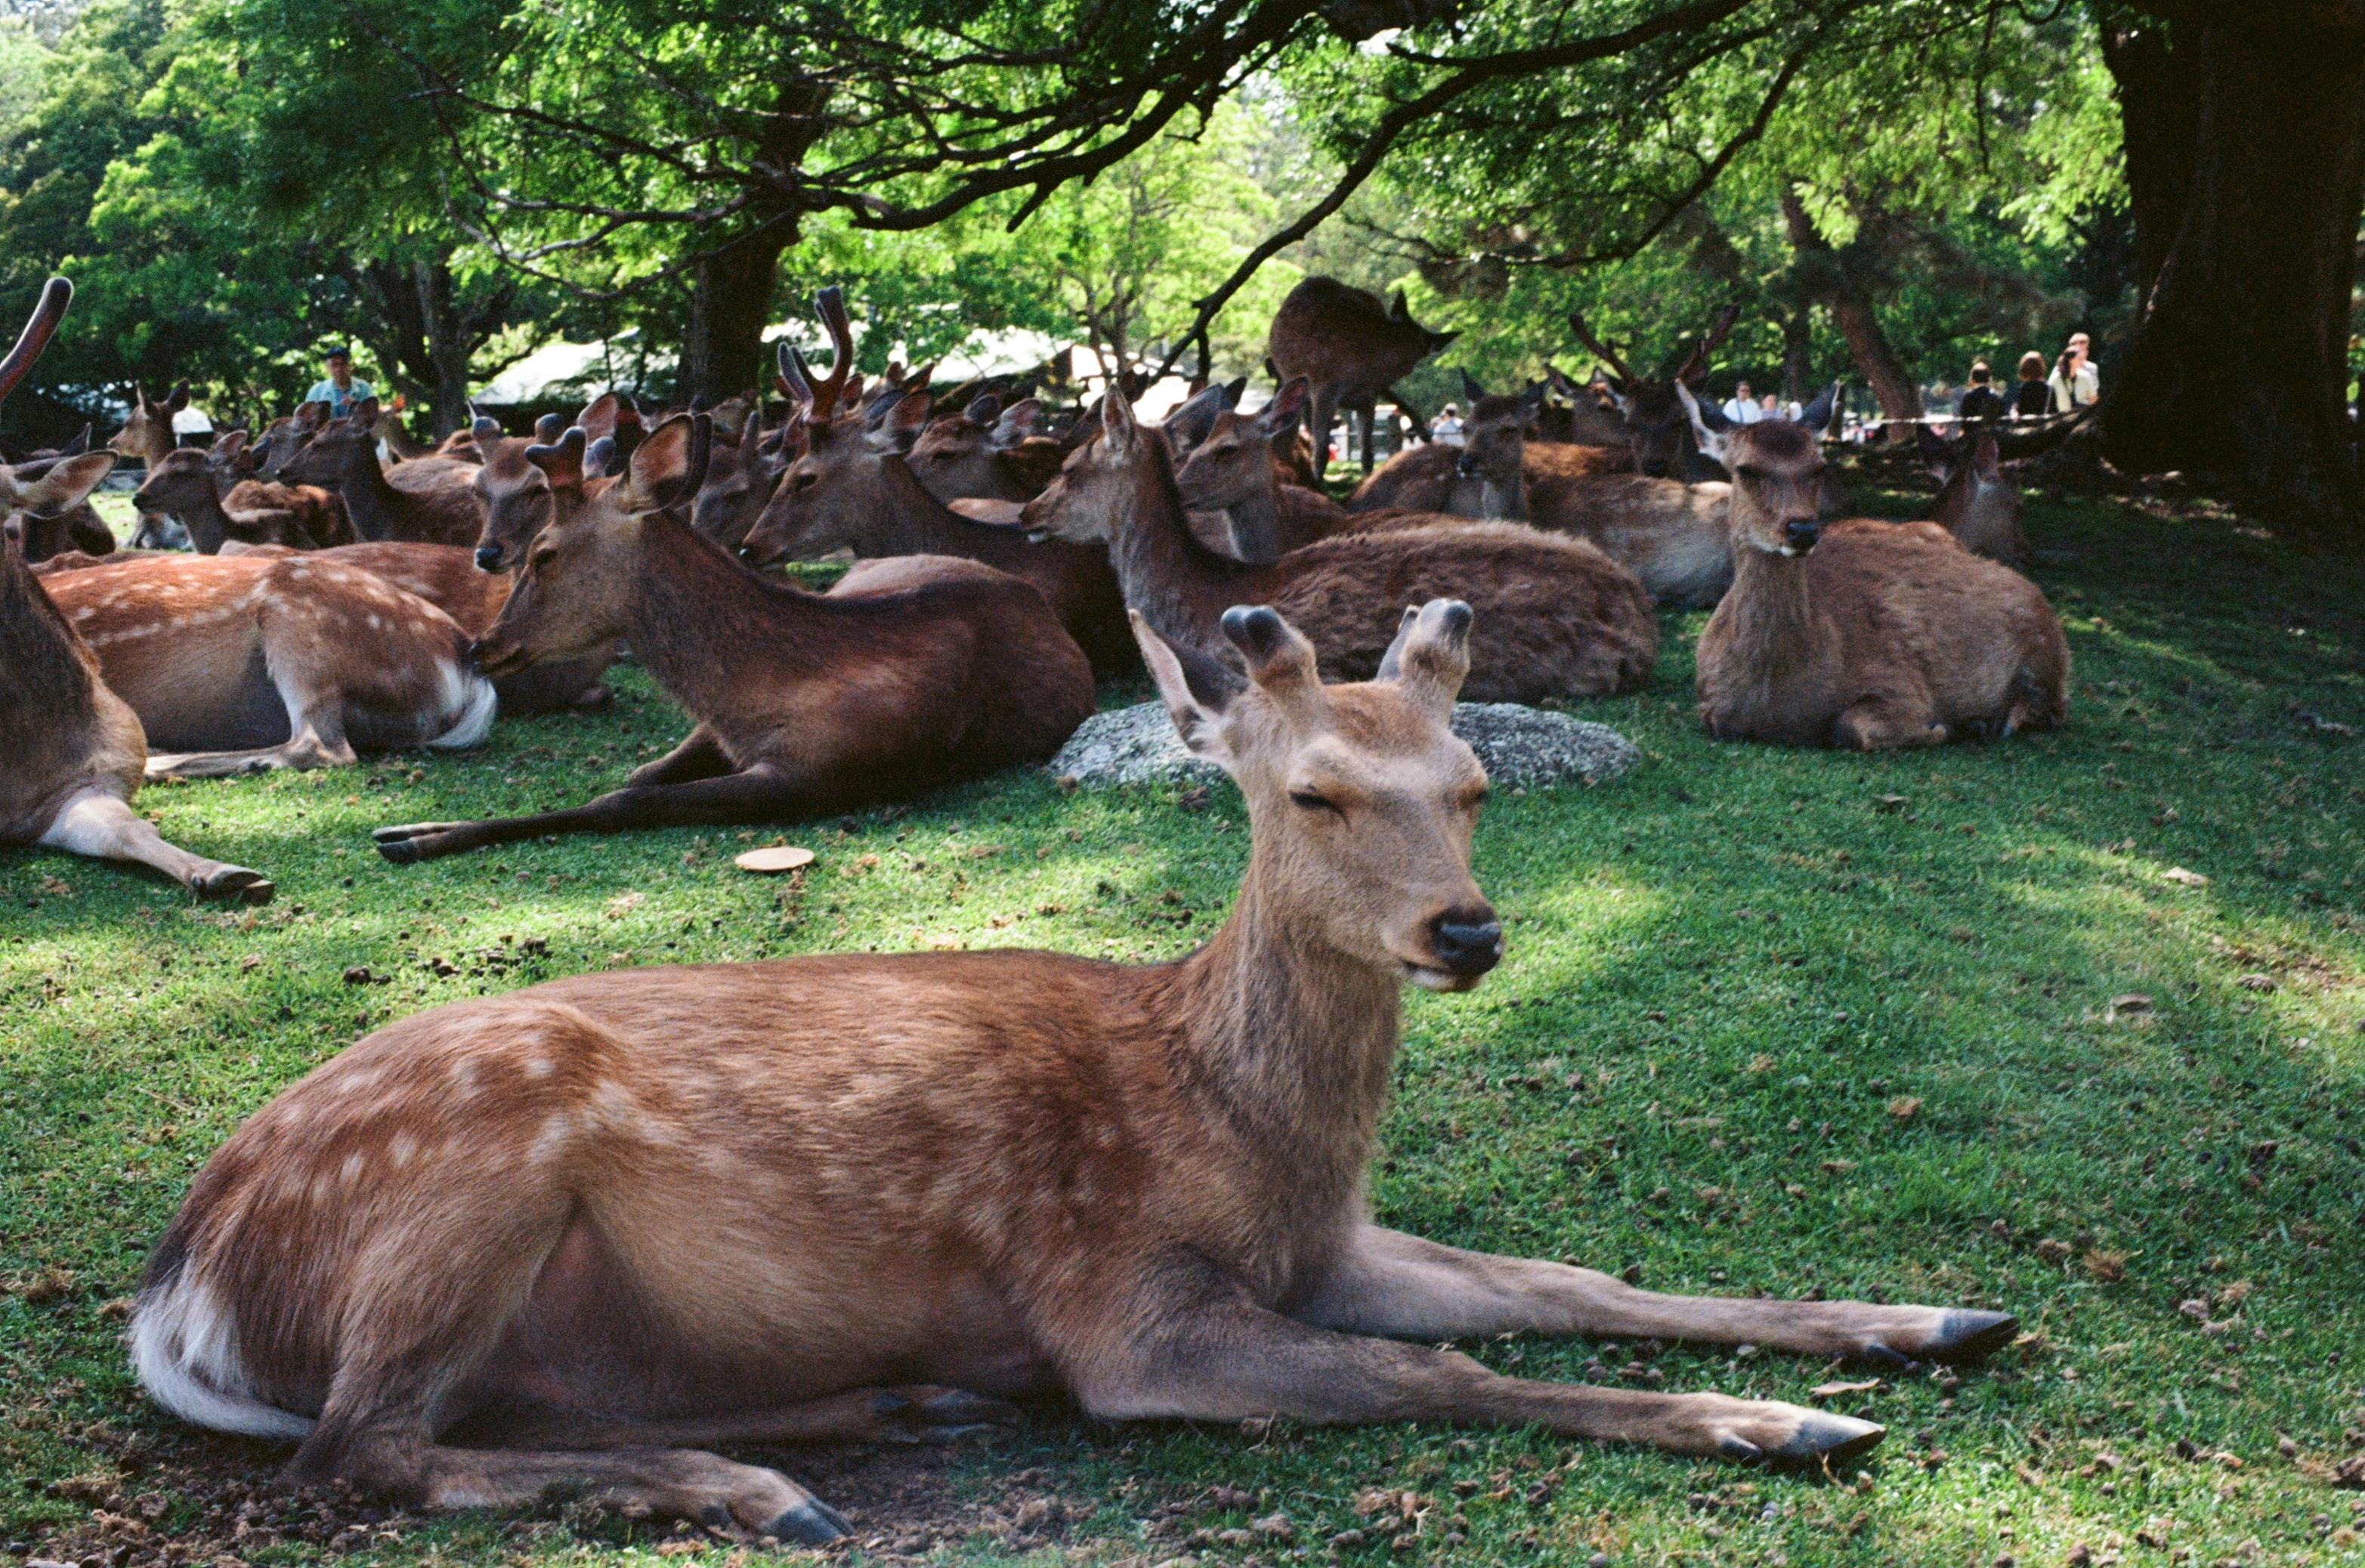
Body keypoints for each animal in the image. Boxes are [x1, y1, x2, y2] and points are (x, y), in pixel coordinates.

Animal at [131, 594, 2024, 1549]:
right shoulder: (1119, 1301)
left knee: (472, 1416)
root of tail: (177, 1282)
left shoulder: (1327, 1242)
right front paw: (1785, 1421)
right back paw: (752, 1488)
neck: (1233, 1125)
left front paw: (1925, 1314)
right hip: (464, 1173)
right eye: (1312, 789)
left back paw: (891, 1413)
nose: (1467, 928)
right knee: (359, 1452)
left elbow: (1574, 1277)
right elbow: (1453, 1369)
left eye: (1477, 780)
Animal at [369, 413, 1095, 863]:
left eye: (543, 553)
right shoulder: (721, 733)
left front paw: (418, 836)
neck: (761, 694)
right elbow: (637, 775)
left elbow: (625, 799)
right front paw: (414, 828)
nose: (479, 646)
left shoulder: (820, 774)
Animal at [1679, 385, 2068, 749]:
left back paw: (1994, 721)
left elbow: (1857, 727)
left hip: (2047, 650)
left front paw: (1945, 727)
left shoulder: (1900, 681)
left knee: (2051, 705)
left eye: (1820, 467)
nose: (1803, 529)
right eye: (1744, 469)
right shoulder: (1710, 708)